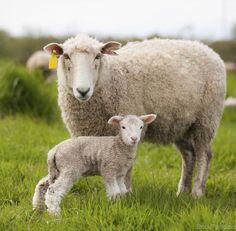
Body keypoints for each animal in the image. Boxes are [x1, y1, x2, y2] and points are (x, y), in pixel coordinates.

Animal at [43, 35, 226, 198]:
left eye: (98, 56)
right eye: (66, 56)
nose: (83, 90)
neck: (110, 79)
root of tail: (207, 49)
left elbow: (126, 169)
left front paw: (126, 194)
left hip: (206, 118)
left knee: (204, 154)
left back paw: (197, 193)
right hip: (180, 124)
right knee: (189, 155)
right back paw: (182, 192)